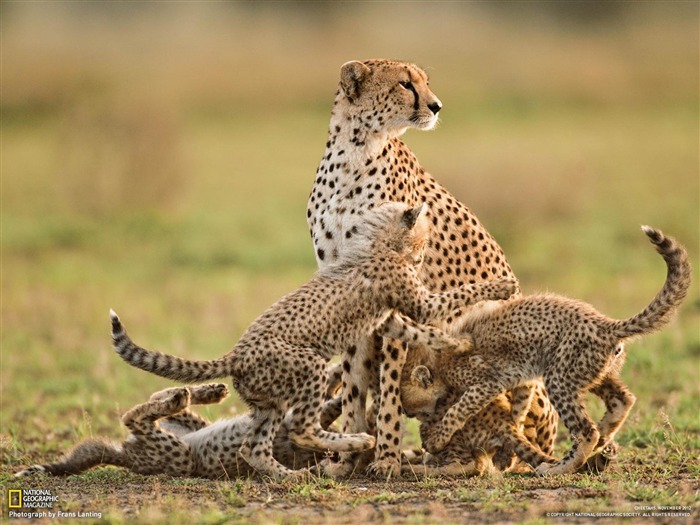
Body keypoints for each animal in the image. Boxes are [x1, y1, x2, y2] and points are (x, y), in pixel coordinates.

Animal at [308, 59, 556, 476]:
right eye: (405, 84)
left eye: (425, 82)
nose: (437, 106)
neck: (356, 151)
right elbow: (355, 385)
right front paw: (346, 459)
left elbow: (391, 386)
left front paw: (386, 458)